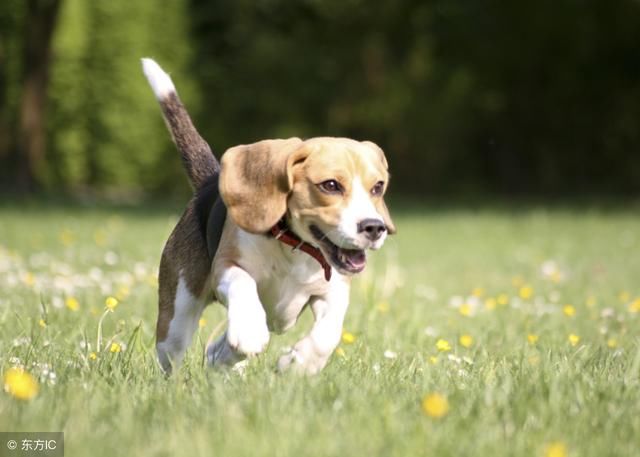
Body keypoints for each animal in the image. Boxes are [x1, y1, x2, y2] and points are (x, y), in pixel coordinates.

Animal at [142, 58, 396, 374]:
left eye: (378, 187)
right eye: (330, 185)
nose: (374, 228)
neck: (296, 247)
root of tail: (209, 182)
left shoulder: (334, 290)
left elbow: (329, 333)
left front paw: (299, 364)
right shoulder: (227, 265)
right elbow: (243, 283)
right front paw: (250, 330)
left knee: (218, 351)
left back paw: (224, 361)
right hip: (177, 315)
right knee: (175, 353)